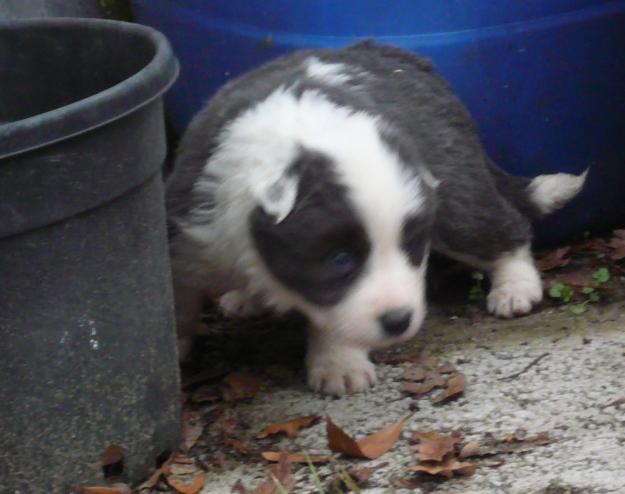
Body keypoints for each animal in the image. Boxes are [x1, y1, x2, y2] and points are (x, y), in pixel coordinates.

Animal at [166, 40, 584, 396]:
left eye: (413, 248)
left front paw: (339, 366)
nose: (399, 320)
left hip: (456, 196)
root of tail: (405, 59)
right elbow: (178, 300)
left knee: (503, 228)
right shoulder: (186, 237)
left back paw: (515, 288)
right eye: (339, 259)